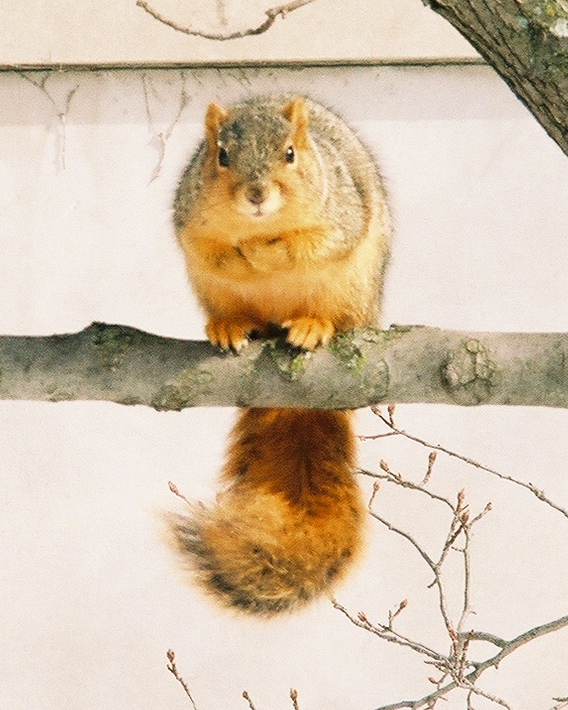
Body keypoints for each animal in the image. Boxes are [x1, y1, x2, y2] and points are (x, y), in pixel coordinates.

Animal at [167, 94, 391, 615]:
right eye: (221, 155)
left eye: (290, 154)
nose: (256, 194)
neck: (259, 226)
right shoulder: (189, 221)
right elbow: (210, 250)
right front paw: (239, 254)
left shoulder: (340, 216)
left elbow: (308, 245)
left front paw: (266, 253)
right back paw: (229, 326)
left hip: (355, 290)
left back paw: (313, 326)